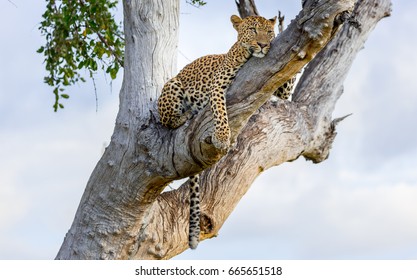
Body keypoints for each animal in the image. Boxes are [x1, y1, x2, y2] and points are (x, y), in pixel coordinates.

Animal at [157, 14, 296, 250]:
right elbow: (221, 113)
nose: (262, 44)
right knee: (167, 121)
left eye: (268, 32)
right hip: (172, 86)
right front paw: (222, 137)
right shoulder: (217, 86)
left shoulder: (280, 89)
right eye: (253, 30)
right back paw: (185, 116)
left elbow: (288, 85)